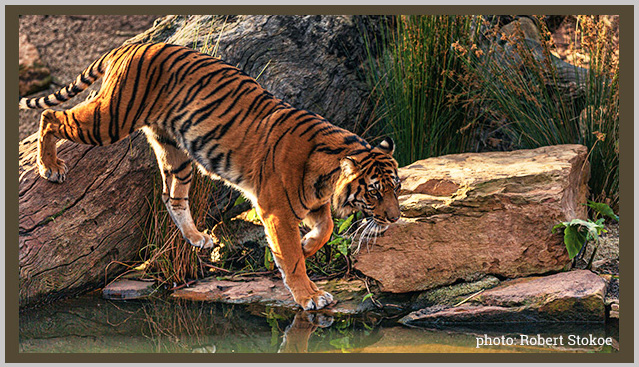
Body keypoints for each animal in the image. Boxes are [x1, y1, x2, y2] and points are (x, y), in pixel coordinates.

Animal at [18, 43, 400, 314]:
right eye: (374, 192)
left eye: (396, 188)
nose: (396, 219)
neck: (327, 176)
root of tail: (132, 44)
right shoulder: (276, 208)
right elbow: (291, 257)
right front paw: (310, 295)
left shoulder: (311, 203)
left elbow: (326, 229)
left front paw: (308, 246)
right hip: (110, 118)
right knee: (51, 116)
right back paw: (50, 167)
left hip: (176, 151)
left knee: (171, 197)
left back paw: (197, 238)